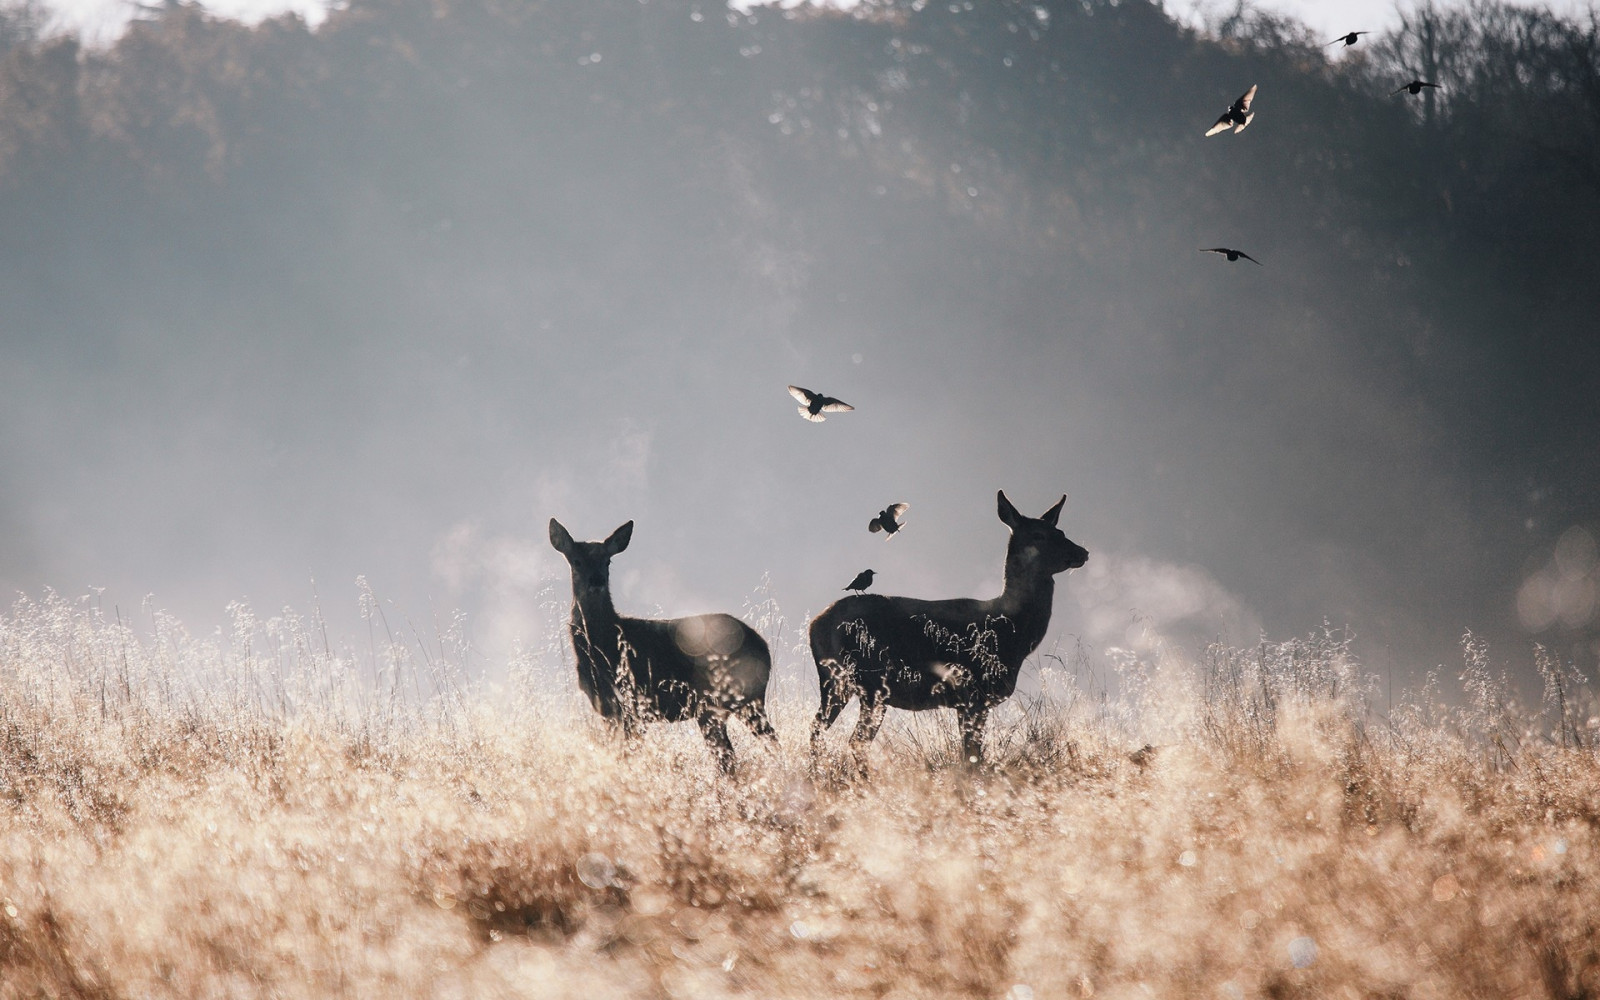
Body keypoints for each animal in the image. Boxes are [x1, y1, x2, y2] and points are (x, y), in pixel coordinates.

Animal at [549, 518, 778, 773]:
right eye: (576, 561)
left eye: (607, 560)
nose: (597, 581)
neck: (603, 644)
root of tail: (763, 647)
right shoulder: (607, 708)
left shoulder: (633, 702)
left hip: (732, 698)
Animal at [809, 491, 1089, 771]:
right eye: (1038, 535)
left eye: (1061, 531)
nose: (1082, 552)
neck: (1012, 632)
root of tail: (816, 624)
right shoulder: (974, 692)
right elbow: (972, 755)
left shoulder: (967, 700)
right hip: (871, 682)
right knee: (855, 740)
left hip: (836, 681)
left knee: (817, 728)